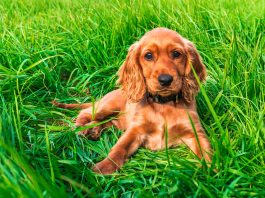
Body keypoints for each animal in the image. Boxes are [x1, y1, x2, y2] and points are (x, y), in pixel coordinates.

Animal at [53, 27, 210, 173]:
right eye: (148, 55)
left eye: (176, 54)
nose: (165, 80)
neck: (164, 104)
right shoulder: (135, 130)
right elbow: (119, 149)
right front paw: (101, 169)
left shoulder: (194, 132)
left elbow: (206, 151)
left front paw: (211, 171)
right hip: (107, 107)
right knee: (86, 113)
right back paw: (81, 128)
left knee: (105, 122)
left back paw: (93, 130)